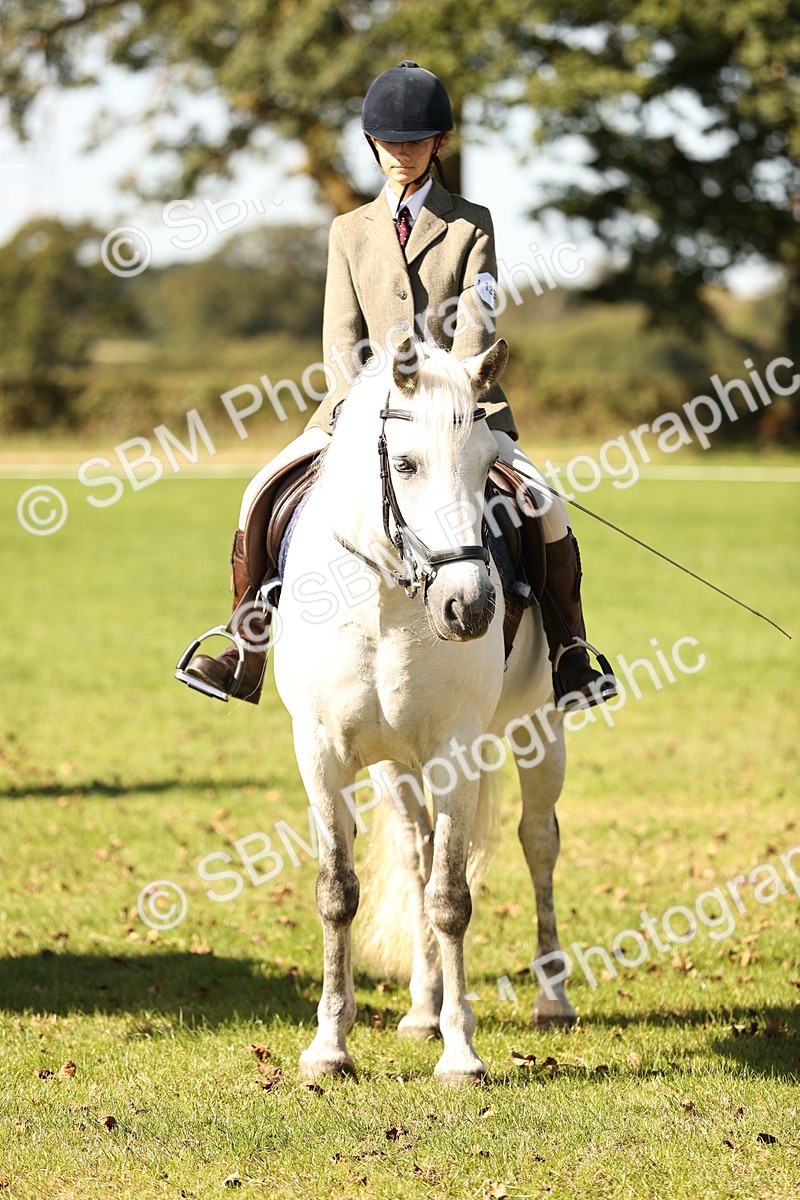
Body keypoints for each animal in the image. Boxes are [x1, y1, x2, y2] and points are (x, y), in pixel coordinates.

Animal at [272, 338, 576, 1084]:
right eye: (405, 464)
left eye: (486, 462)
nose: (469, 607)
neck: (387, 599)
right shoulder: (319, 751)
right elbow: (338, 890)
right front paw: (330, 1045)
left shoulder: (456, 752)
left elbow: (452, 897)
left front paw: (462, 1052)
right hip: (394, 766)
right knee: (416, 853)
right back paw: (420, 1007)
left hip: (540, 733)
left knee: (538, 841)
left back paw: (551, 998)